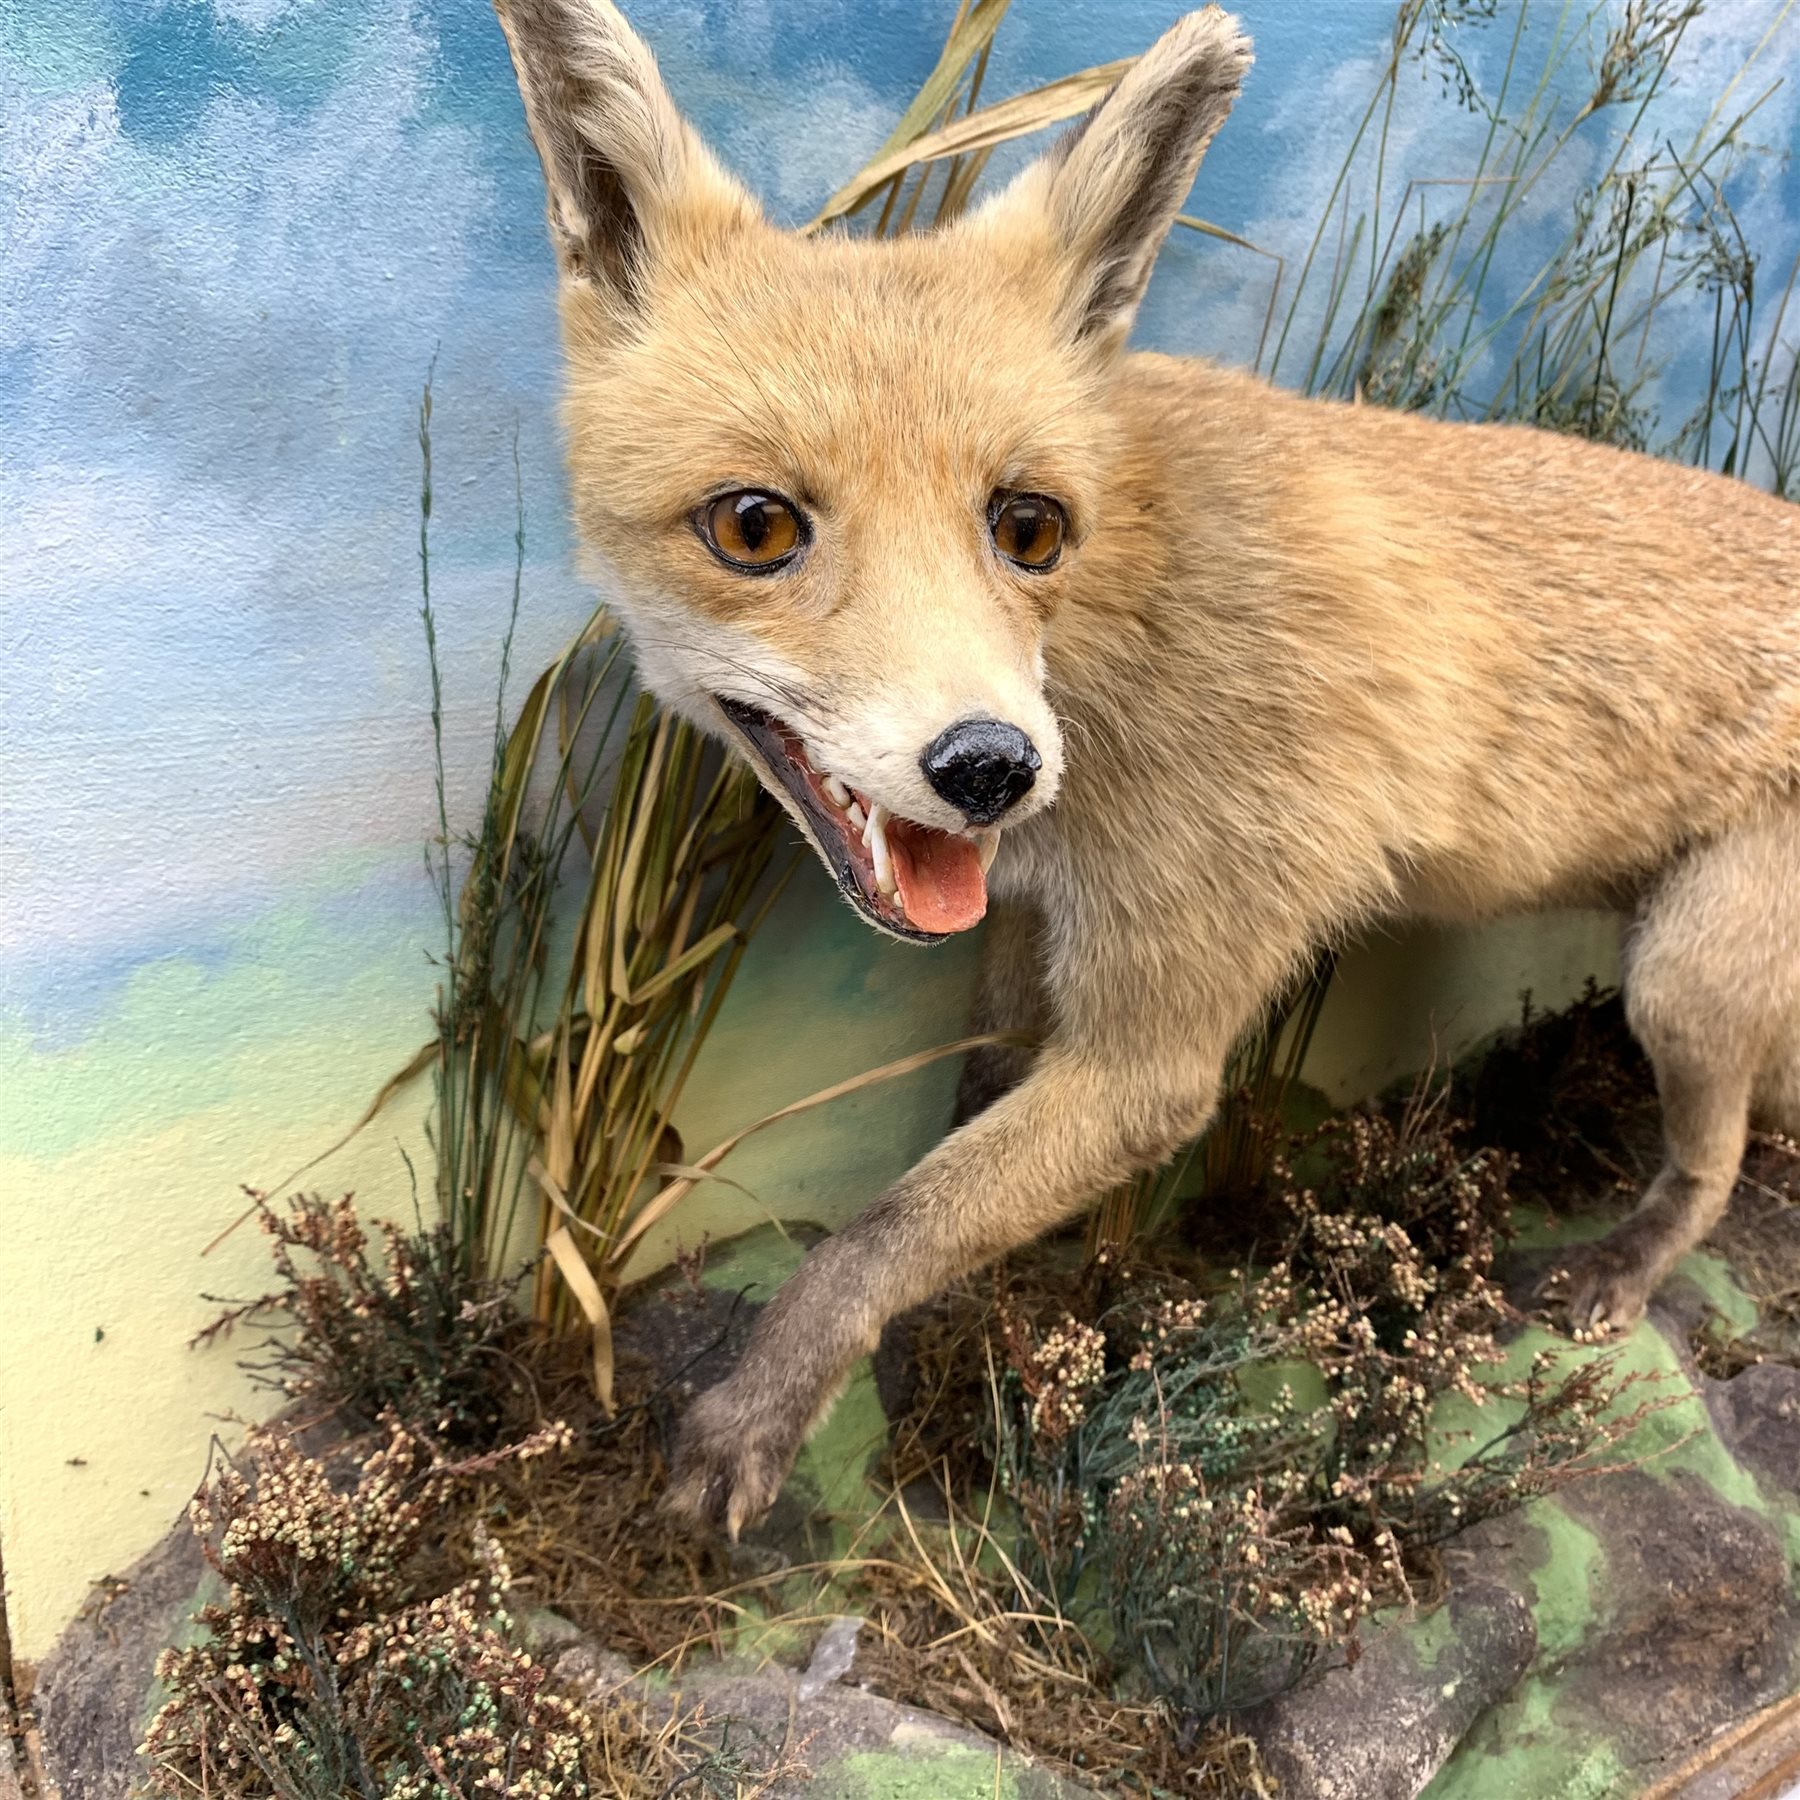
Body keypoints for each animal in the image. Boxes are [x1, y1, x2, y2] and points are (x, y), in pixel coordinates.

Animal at [491, 0, 1800, 1534]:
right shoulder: (1034, 934)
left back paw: (1619, 1269)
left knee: (1712, 1168)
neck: (1115, 634)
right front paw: (979, 1330)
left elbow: (890, 1225)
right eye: (754, 528)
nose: (990, 766)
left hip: (1681, 984)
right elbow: (964, 1148)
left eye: (1030, 527)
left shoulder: (1156, 1051)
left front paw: (761, 1410)